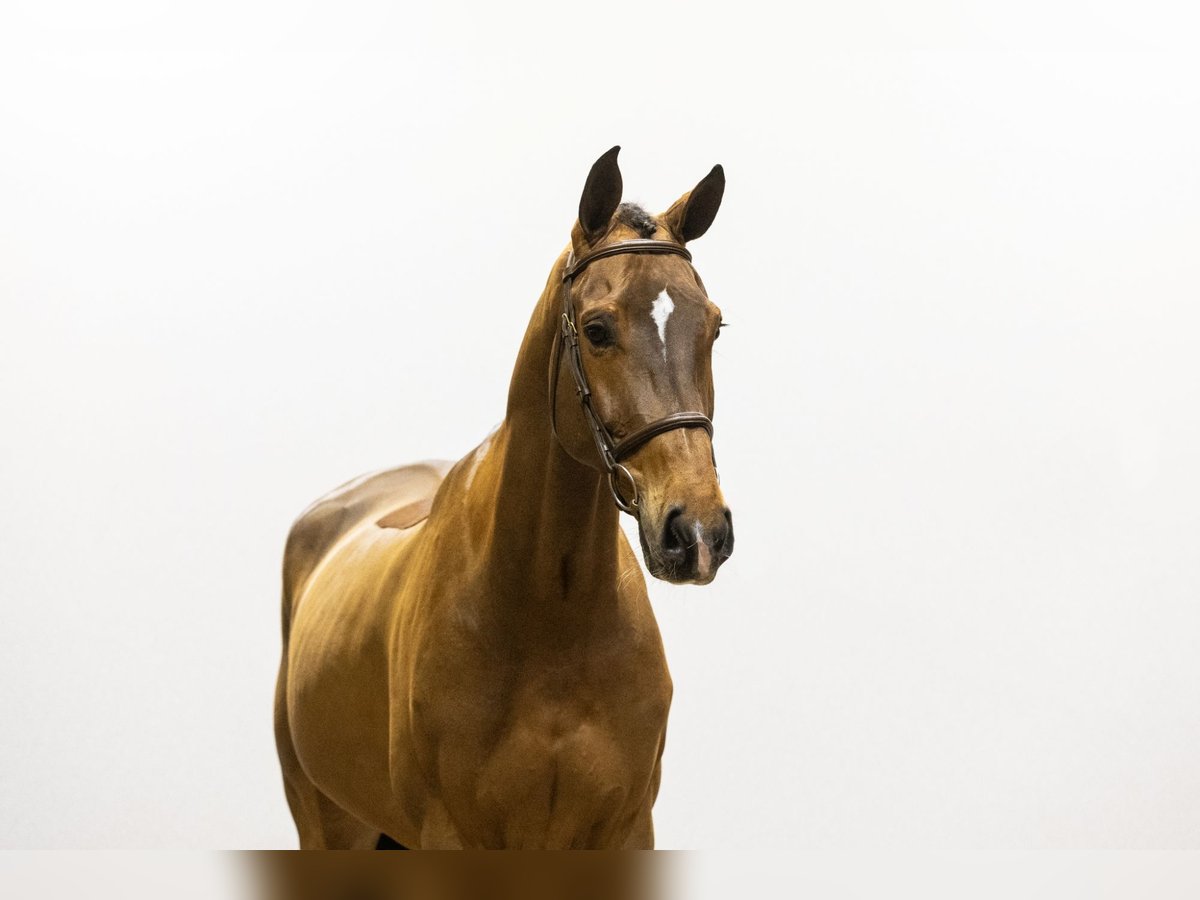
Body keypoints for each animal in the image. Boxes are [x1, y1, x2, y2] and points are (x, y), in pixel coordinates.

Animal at [277, 148, 734, 854]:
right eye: (597, 330)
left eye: (714, 326)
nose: (698, 534)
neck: (552, 617)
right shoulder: (452, 835)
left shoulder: (627, 829)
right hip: (328, 824)